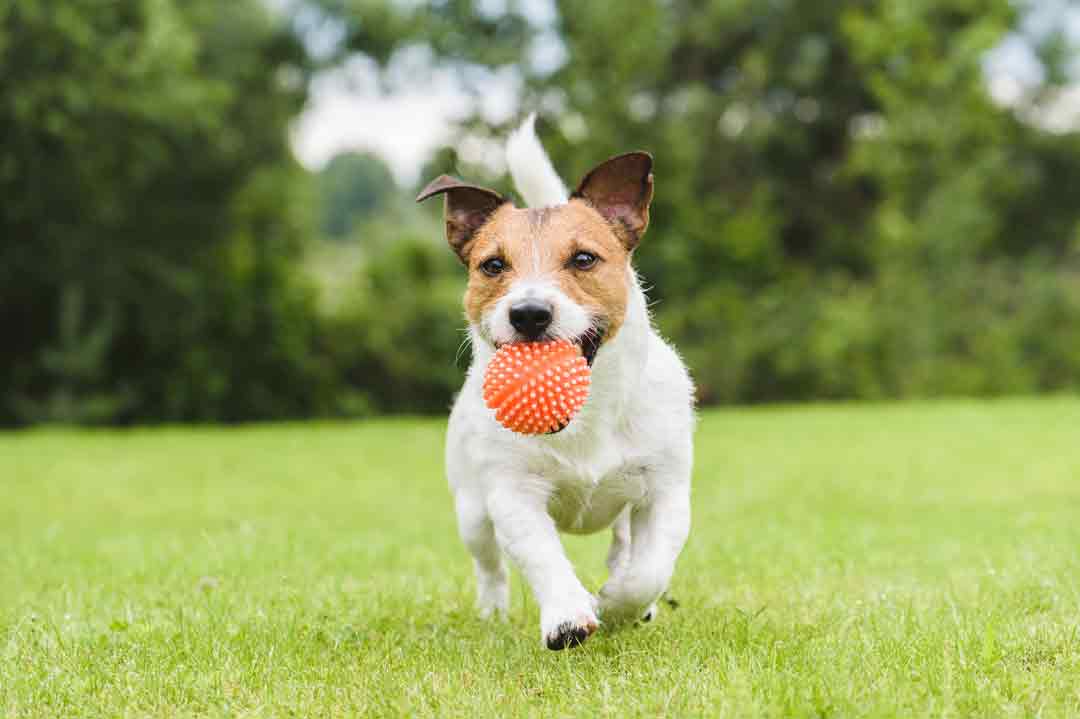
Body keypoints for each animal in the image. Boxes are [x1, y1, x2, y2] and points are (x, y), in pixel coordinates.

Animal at [416, 114, 695, 647]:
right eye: (493, 265)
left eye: (584, 259)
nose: (529, 313)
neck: (586, 415)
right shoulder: (512, 495)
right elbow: (542, 557)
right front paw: (568, 616)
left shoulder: (665, 491)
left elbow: (649, 570)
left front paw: (619, 603)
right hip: (471, 510)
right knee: (489, 566)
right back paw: (493, 612)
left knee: (624, 545)